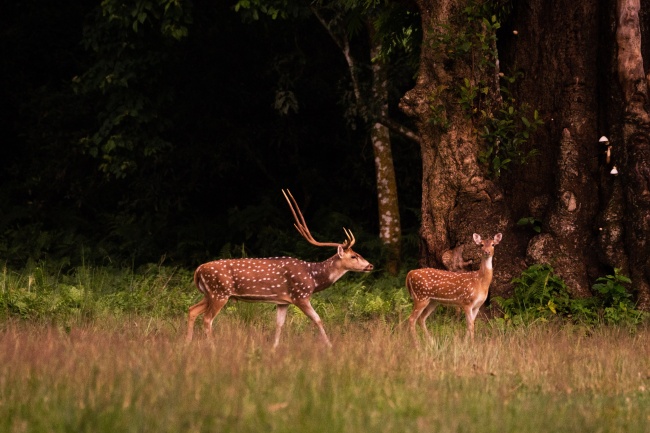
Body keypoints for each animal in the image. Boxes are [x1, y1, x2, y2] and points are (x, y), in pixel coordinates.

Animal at [186, 189, 374, 348]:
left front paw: (274, 348)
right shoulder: (300, 296)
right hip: (219, 293)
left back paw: (187, 343)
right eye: (354, 256)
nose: (370, 265)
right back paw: (212, 347)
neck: (313, 278)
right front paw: (330, 347)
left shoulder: (283, 301)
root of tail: (199, 270)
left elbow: (279, 324)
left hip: (210, 294)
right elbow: (318, 320)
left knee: (192, 310)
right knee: (207, 319)